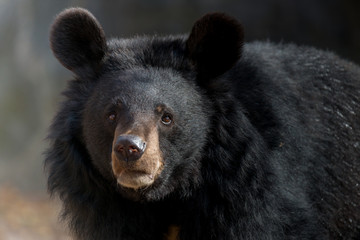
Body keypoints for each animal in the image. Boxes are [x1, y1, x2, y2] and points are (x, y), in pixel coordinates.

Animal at [45, 7, 360, 240]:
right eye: (111, 114)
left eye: (166, 117)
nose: (129, 149)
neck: (171, 196)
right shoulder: (107, 207)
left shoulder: (251, 192)